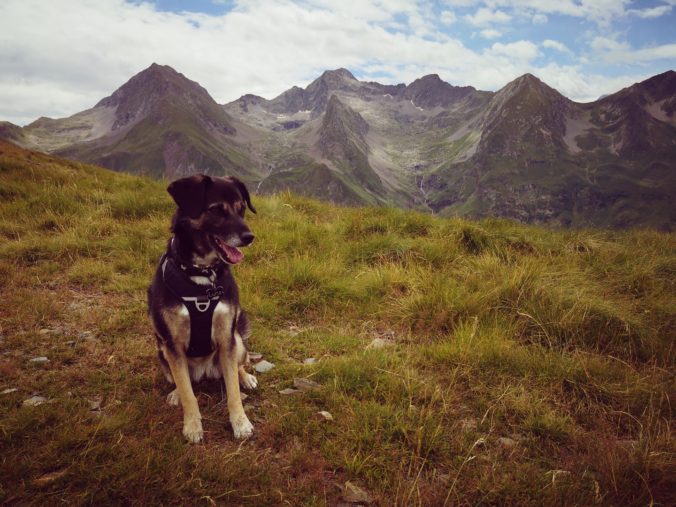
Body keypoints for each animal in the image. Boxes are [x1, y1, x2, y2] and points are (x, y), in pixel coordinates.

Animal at [148, 176, 258, 444]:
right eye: (216, 210)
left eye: (241, 208)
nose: (249, 237)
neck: (201, 276)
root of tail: (205, 372)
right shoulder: (172, 345)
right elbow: (189, 394)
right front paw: (192, 426)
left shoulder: (226, 338)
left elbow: (233, 392)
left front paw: (241, 423)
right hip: (162, 353)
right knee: (182, 380)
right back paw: (176, 392)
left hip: (236, 342)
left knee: (237, 367)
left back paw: (246, 377)